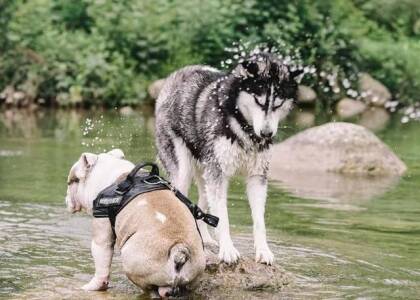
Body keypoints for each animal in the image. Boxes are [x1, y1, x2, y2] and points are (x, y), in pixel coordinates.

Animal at [155, 52, 302, 264]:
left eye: (278, 104)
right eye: (259, 101)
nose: (267, 133)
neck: (244, 127)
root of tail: (180, 72)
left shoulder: (257, 177)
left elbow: (259, 221)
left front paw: (263, 250)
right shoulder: (218, 174)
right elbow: (222, 217)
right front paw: (228, 249)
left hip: (205, 175)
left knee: (201, 206)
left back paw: (205, 239)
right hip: (184, 173)